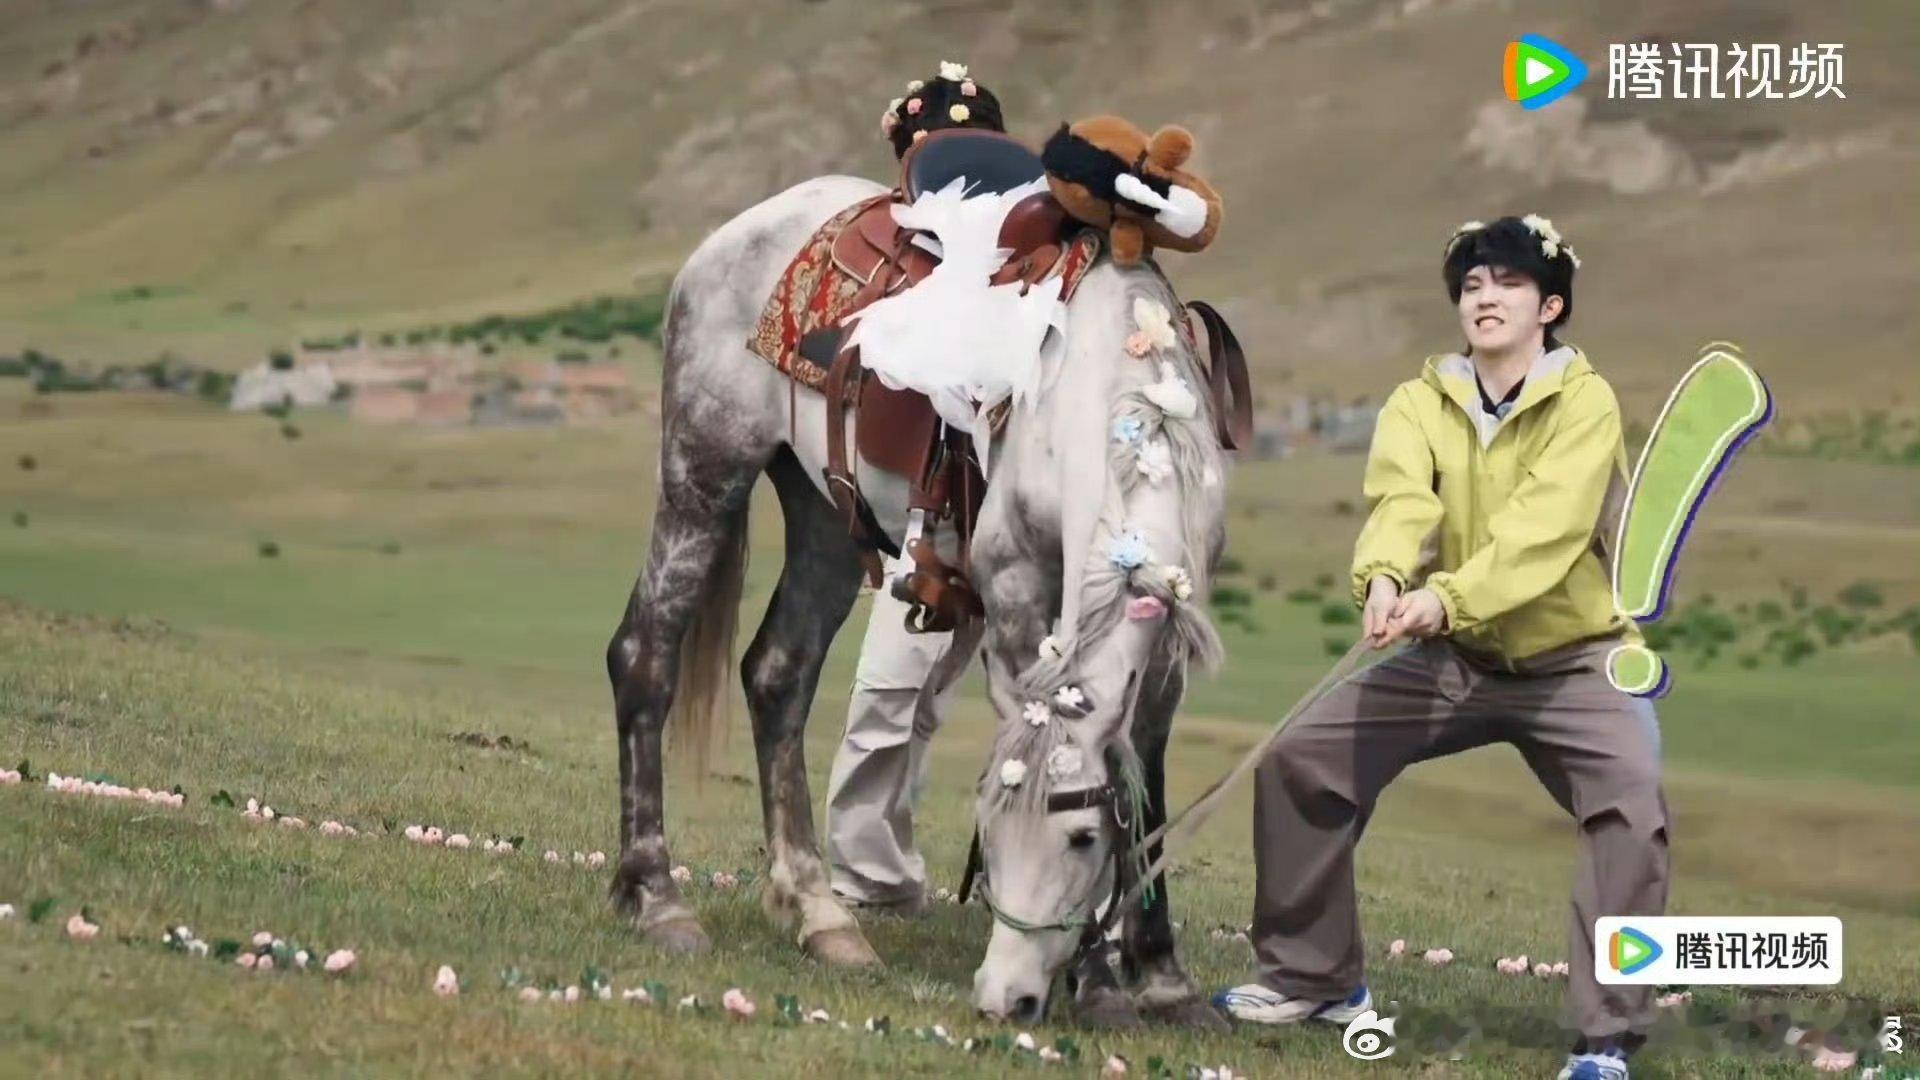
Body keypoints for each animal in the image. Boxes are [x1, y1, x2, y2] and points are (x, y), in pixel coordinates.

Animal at [605, 172, 1232, 1028]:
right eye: (989, 831)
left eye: (1081, 839)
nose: (1007, 998)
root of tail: (744, 229)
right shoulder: (1014, 591)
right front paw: (1103, 983)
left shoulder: (1166, 637)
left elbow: (1147, 779)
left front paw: (1163, 977)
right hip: (705, 468)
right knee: (646, 653)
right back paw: (657, 898)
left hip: (826, 514)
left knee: (778, 676)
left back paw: (821, 915)